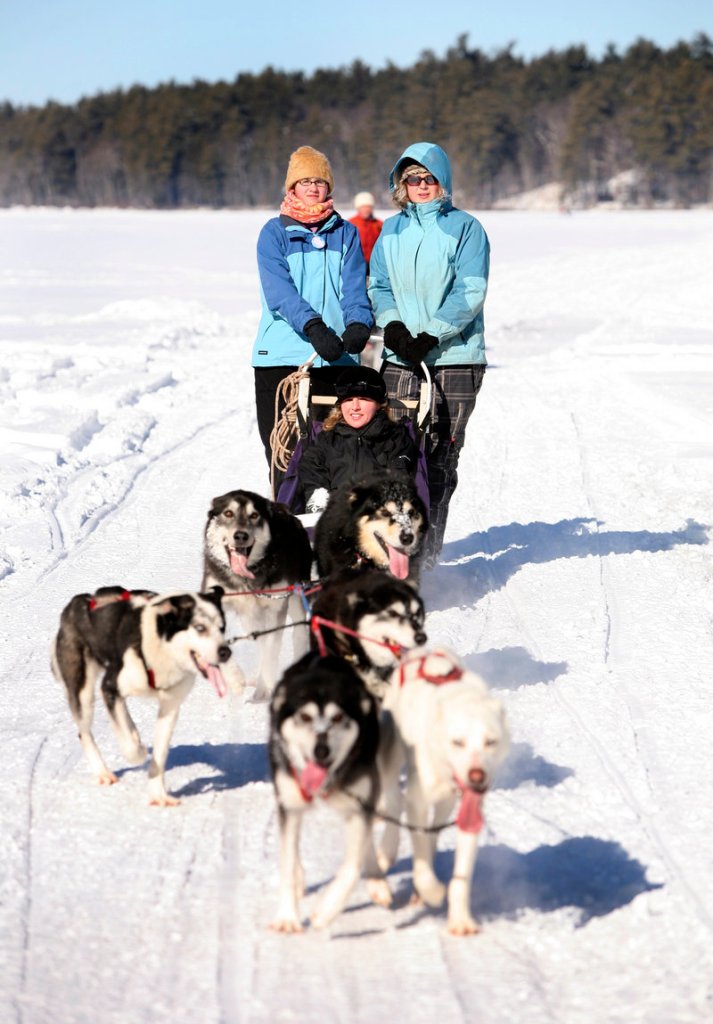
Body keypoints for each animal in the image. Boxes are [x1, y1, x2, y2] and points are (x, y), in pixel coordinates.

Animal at [376, 651, 510, 933]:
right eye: (457, 742)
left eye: (490, 742)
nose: (477, 776)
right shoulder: (417, 802)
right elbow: (421, 865)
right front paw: (432, 892)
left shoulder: (468, 811)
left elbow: (461, 874)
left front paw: (460, 919)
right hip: (391, 758)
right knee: (393, 802)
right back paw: (387, 851)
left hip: (444, 804)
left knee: (432, 832)